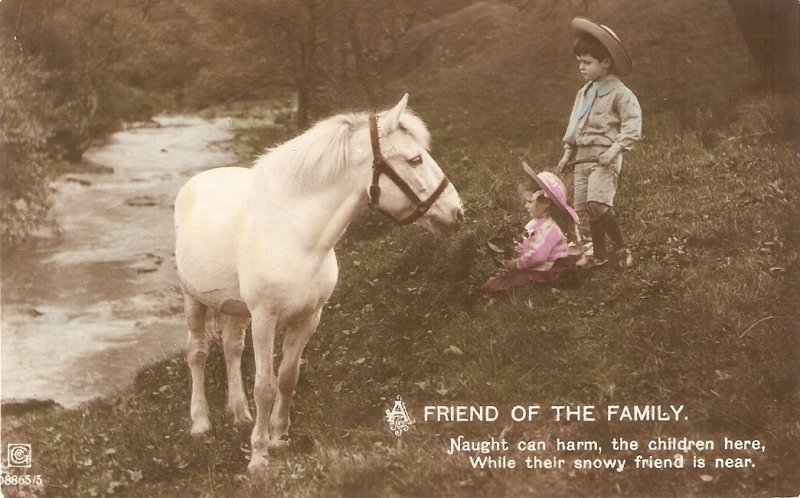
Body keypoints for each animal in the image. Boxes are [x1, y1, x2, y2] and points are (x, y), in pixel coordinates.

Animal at [175, 94, 462, 474]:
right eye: (415, 159)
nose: (457, 213)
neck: (296, 234)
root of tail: (197, 182)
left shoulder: (308, 318)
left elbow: (287, 377)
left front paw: (279, 437)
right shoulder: (265, 320)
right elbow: (265, 386)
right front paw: (258, 456)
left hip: (233, 307)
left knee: (232, 349)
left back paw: (238, 414)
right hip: (193, 299)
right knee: (197, 353)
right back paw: (200, 423)